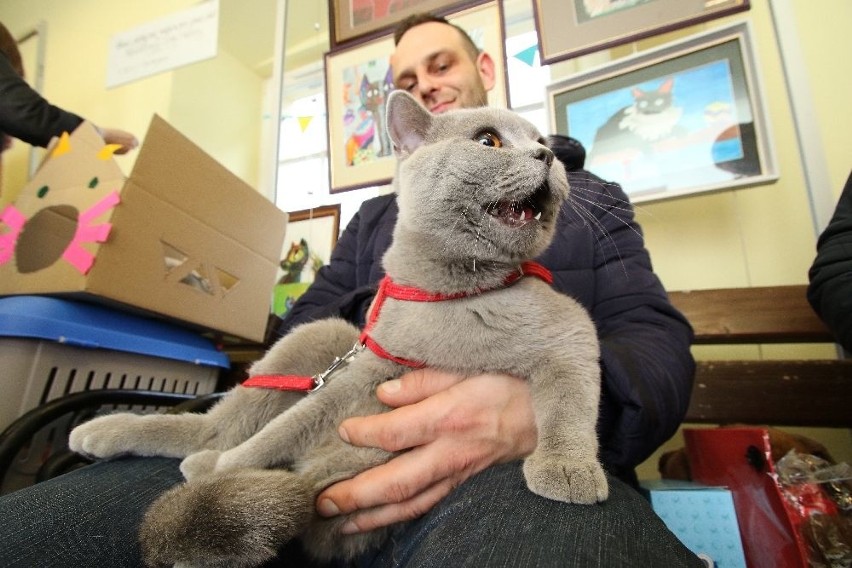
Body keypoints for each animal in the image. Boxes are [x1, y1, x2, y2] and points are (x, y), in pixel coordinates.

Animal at [71, 91, 604, 564]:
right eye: (488, 140)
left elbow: (570, 403)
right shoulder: (369, 366)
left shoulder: (572, 336)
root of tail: (314, 475)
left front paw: (567, 469)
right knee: (216, 429)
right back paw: (119, 436)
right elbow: (284, 428)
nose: (547, 154)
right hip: (323, 335)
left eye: (542, 141)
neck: (450, 295)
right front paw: (229, 467)